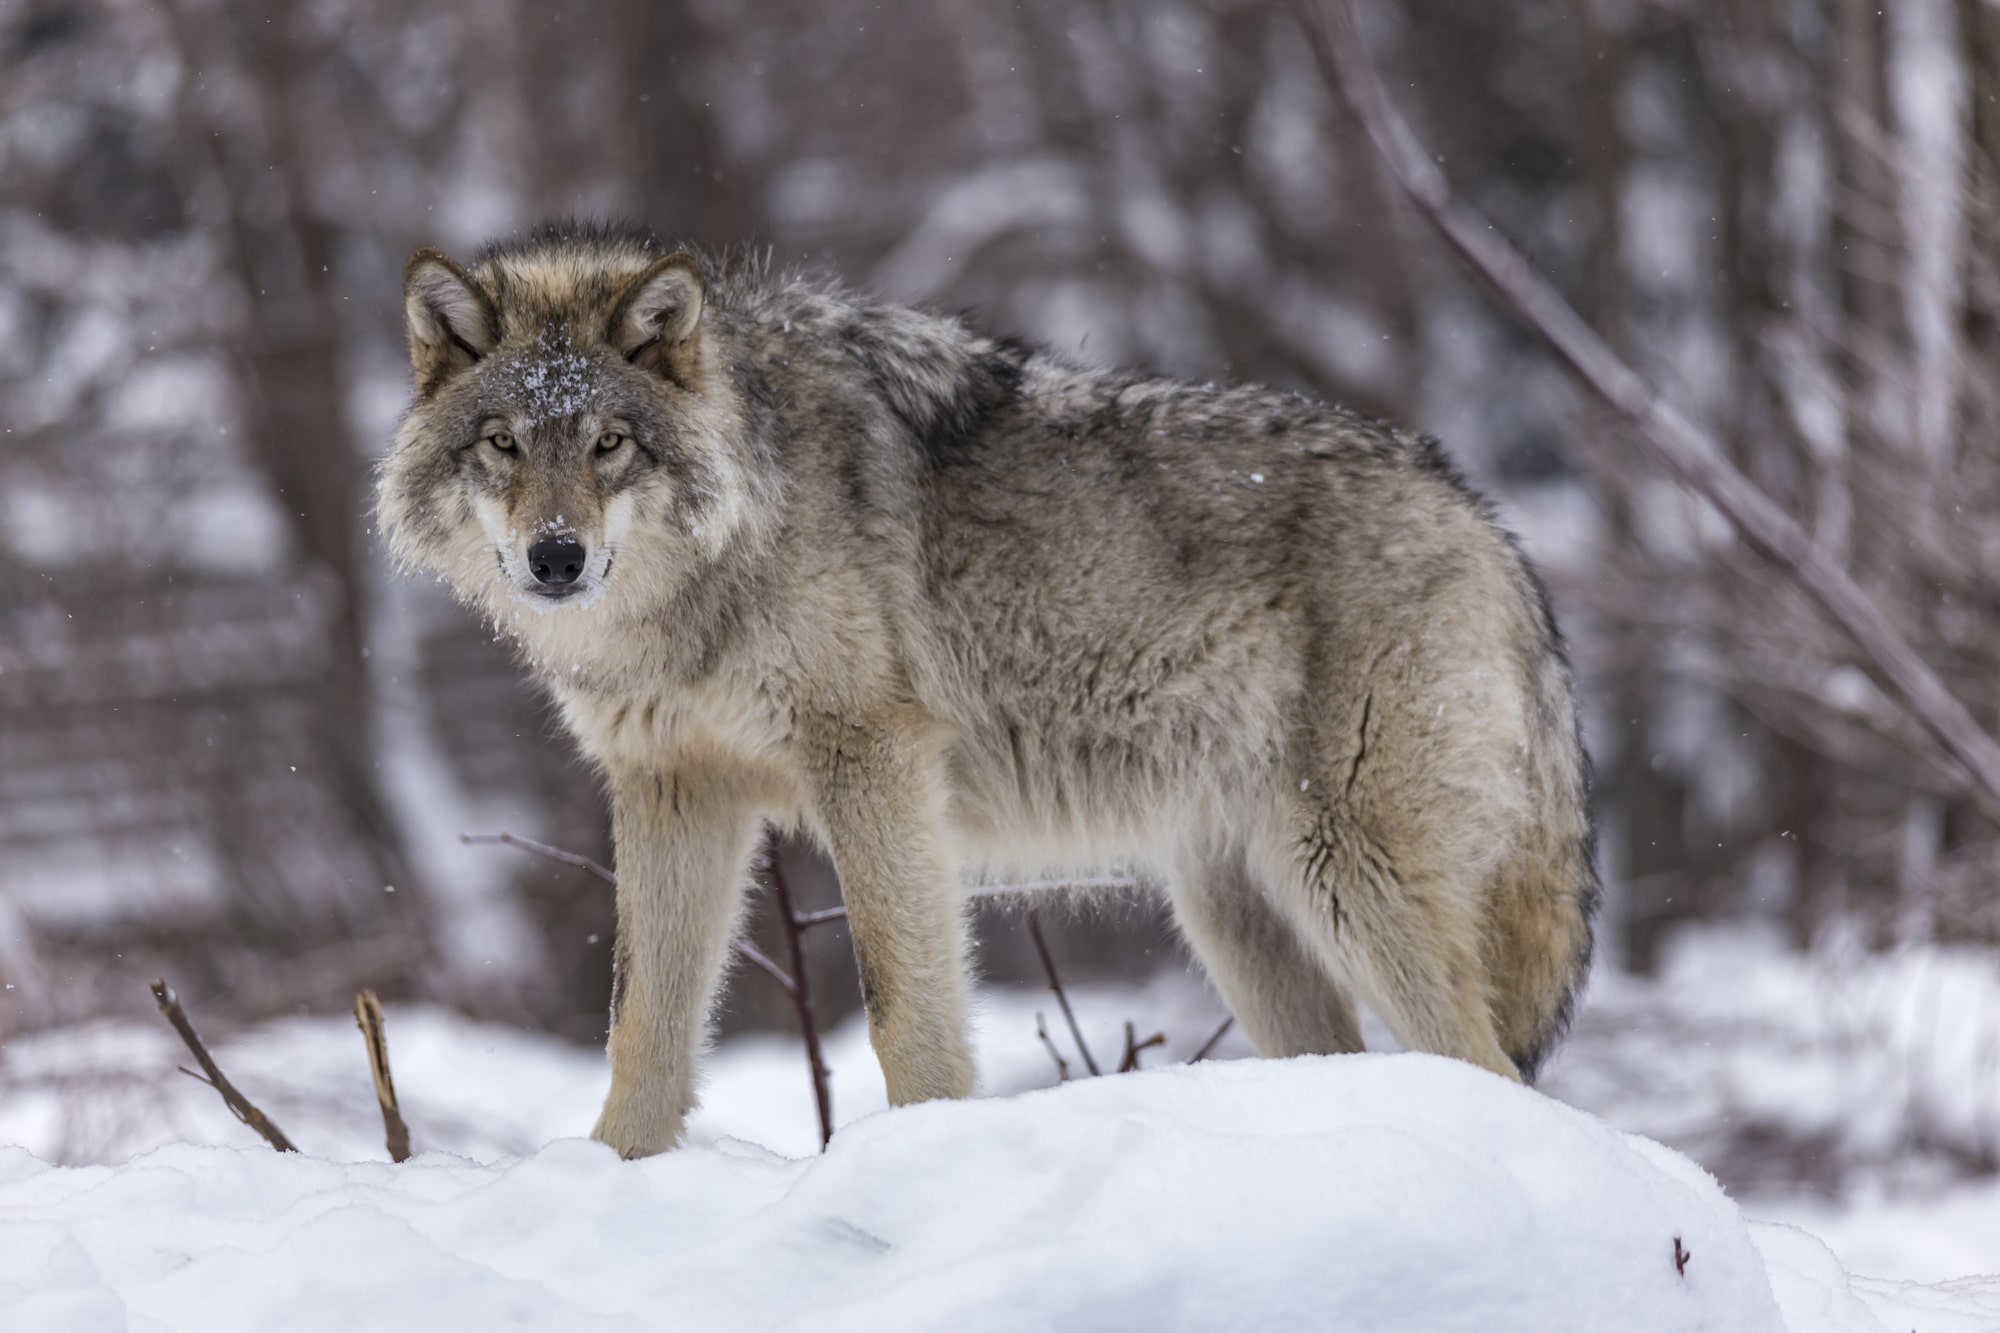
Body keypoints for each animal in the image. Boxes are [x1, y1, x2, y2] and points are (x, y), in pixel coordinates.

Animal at [378, 221, 1597, 1158]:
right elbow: (643, 1026)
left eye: (609, 443)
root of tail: (1484, 519)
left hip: (1348, 879)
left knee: (1489, 1064)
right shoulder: (672, 787)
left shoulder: (870, 760)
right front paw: (611, 1172)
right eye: (503, 444)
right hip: (1240, 915)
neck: (713, 566)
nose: (556, 558)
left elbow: (900, 1007)